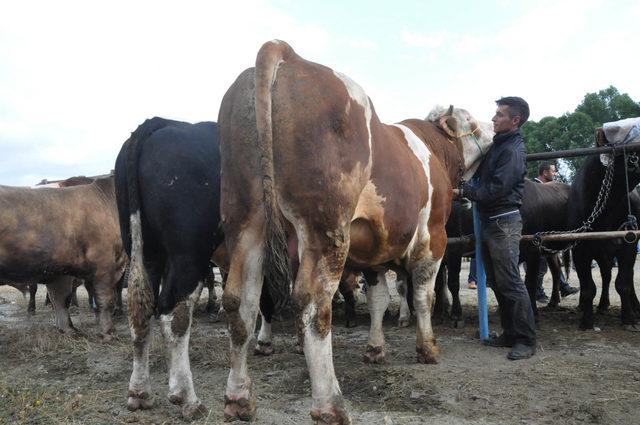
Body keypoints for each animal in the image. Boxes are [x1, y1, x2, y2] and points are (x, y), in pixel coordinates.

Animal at [0, 174, 126, 336]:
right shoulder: (103, 261)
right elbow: (104, 299)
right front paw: (108, 332)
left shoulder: (58, 269)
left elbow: (61, 299)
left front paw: (69, 330)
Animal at [114, 117, 222, 420]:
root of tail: (159, 123)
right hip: (188, 252)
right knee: (174, 315)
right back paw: (187, 399)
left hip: (145, 249)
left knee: (141, 313)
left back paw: (140, 392)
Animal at [218, 39, 492, 420]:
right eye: (471, 122)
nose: (495, 126)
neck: (433, 151)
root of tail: (286, 53)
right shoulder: (432, 237)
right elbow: (423, 295)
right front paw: (428, 348)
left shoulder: (374, 250)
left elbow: (379, 299)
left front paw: (375, 349)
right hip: (325, 228)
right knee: (313, 305)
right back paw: (329, 406)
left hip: (245, 219)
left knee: (239, 302)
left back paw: (239, 398)